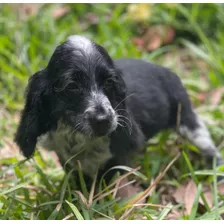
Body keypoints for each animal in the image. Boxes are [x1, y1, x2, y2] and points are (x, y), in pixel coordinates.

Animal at [14, 34, 223, 186]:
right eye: (72, 86)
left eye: (109, 82)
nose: (103, 120)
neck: (81, 137)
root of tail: (168, 71)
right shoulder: (64, 153)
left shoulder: (117, 156)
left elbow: (105, 180)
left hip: (186, 118)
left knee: (208, 145)